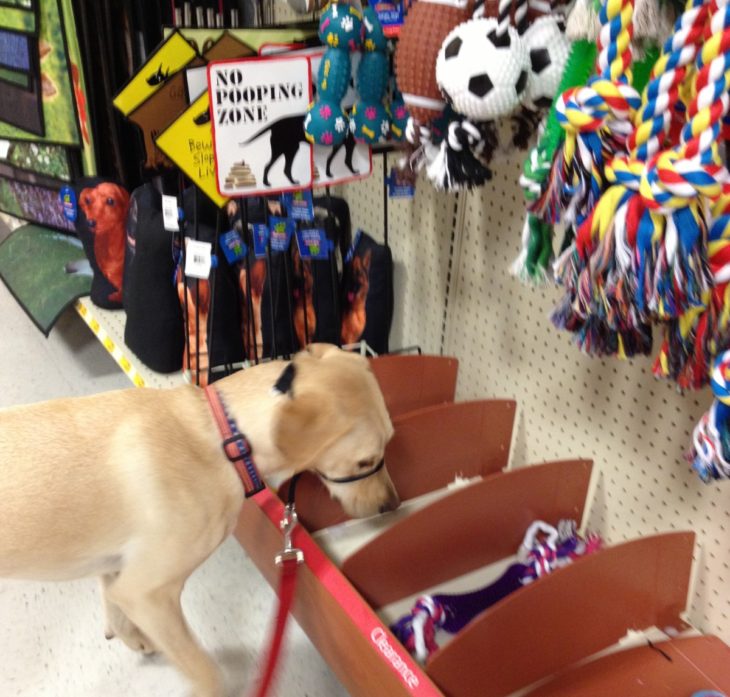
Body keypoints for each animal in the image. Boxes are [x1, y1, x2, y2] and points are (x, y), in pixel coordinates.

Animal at [0, 344, 398, 696]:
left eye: (388, 444)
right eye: (365, 461)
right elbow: (207, 673)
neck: (226, 440)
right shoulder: (148, 594)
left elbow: (111, 600)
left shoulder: (119, 570)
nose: (391, 505)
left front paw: (129, 636)